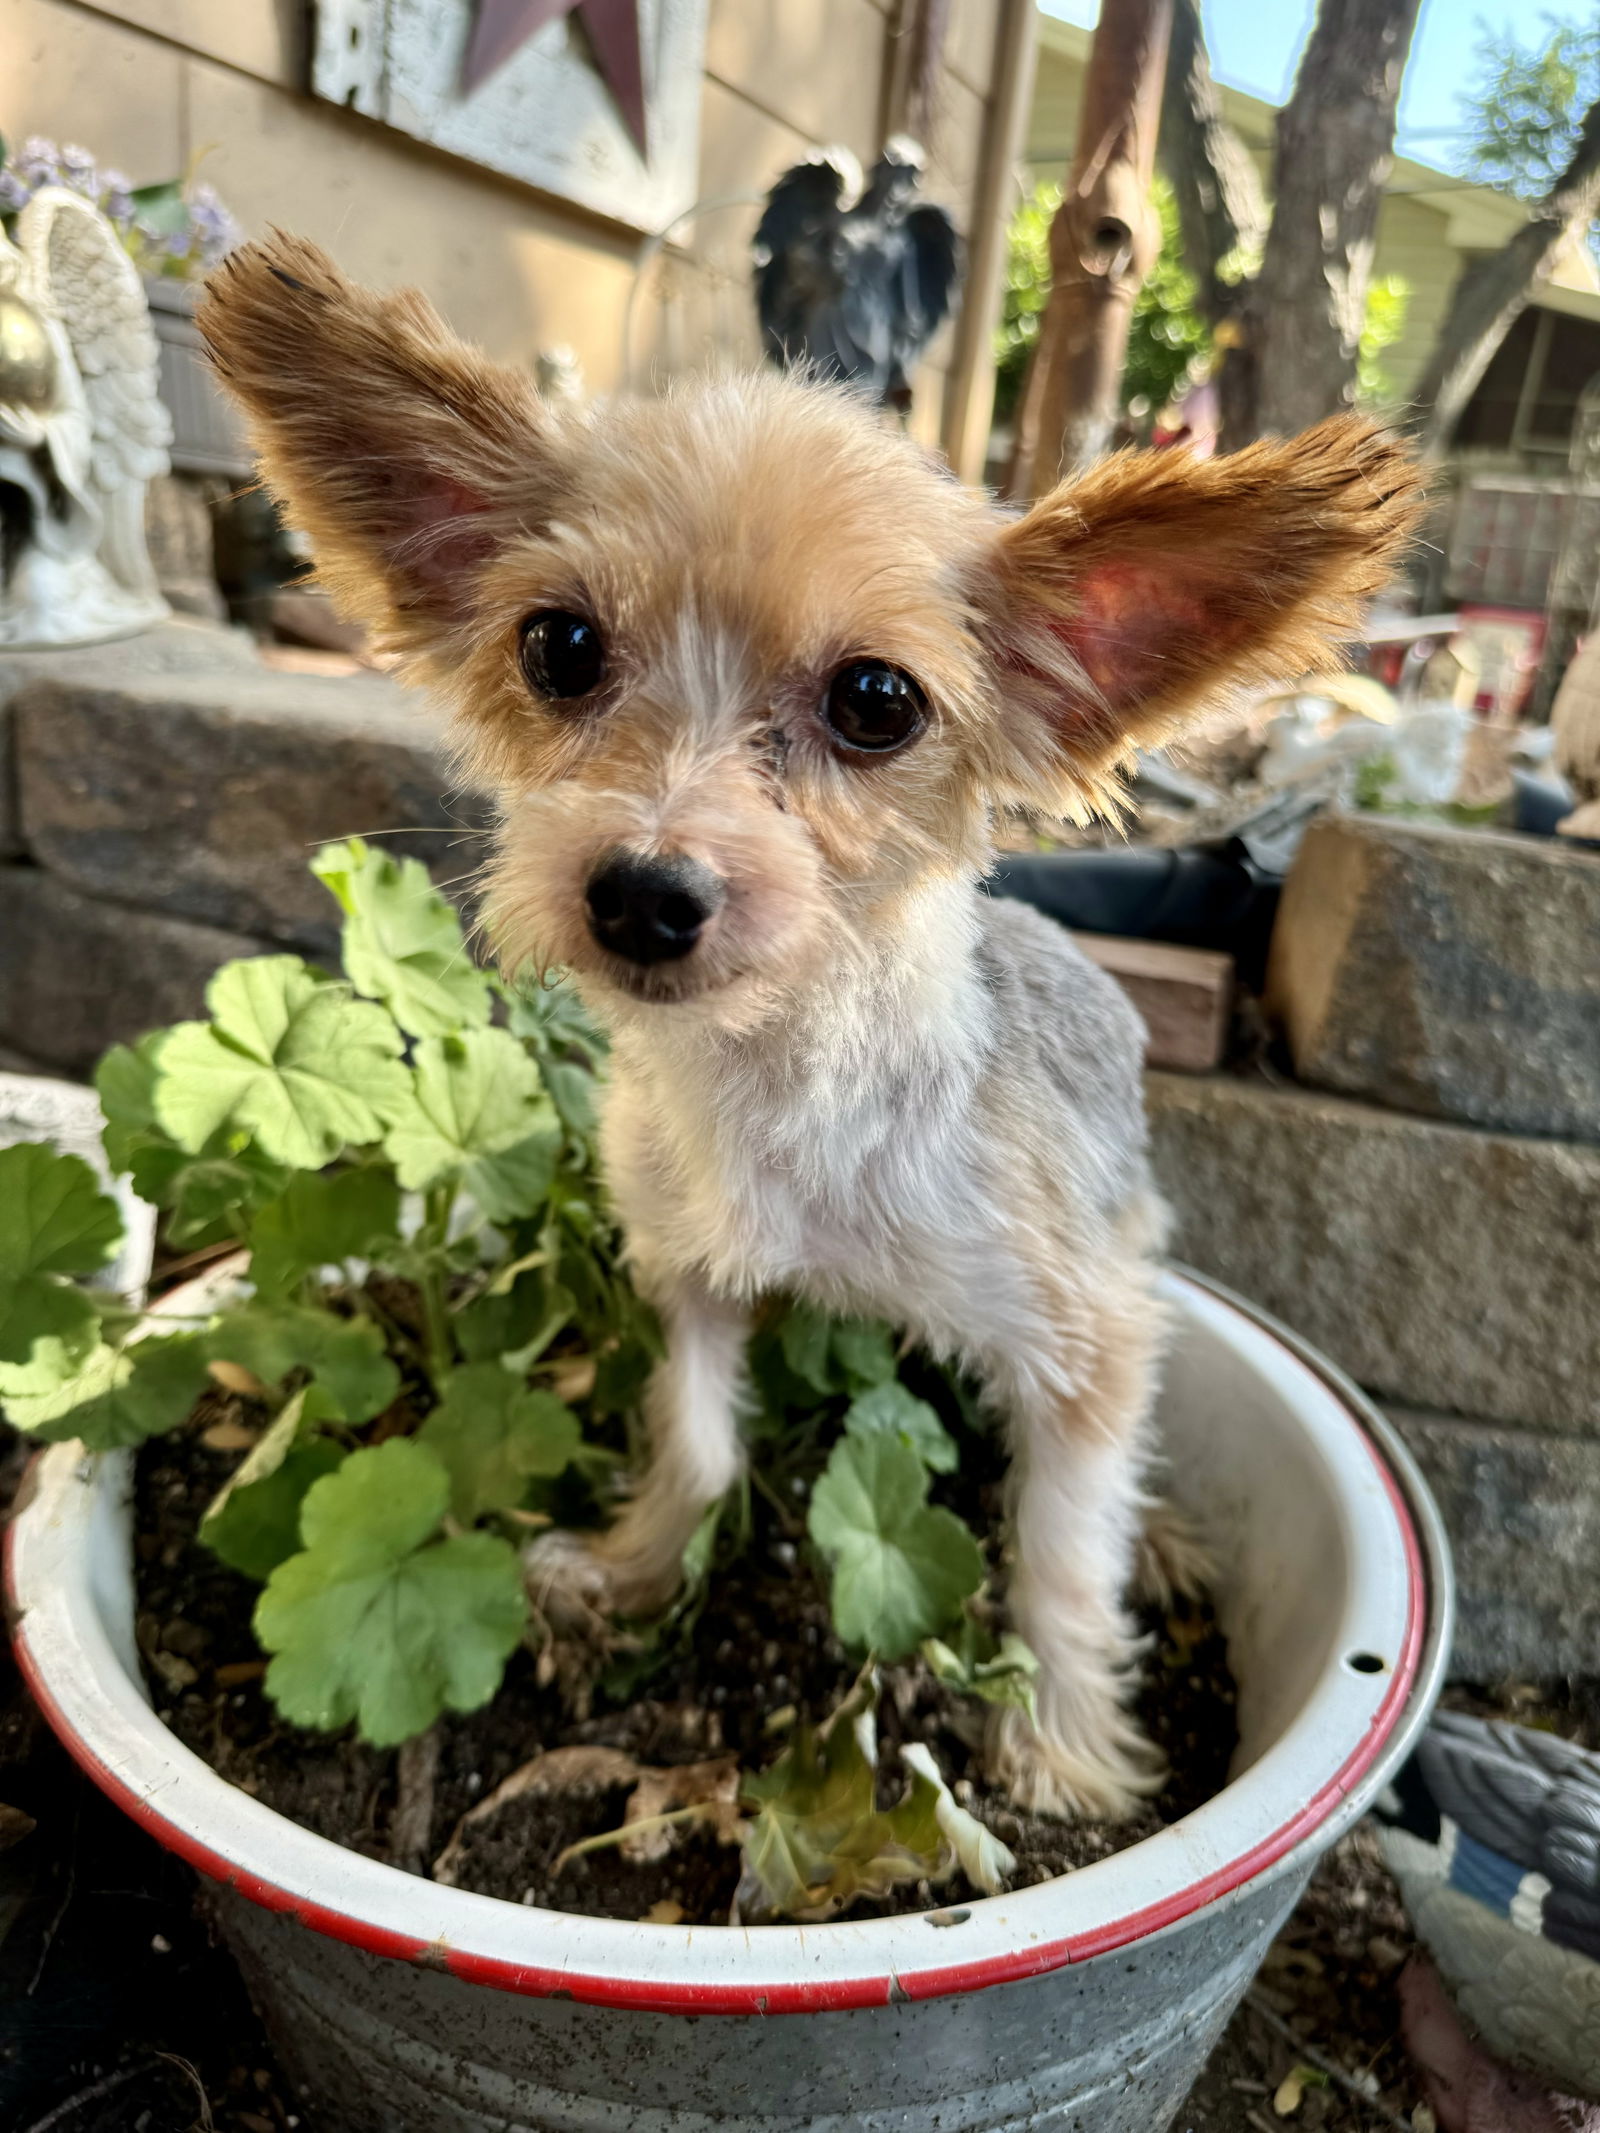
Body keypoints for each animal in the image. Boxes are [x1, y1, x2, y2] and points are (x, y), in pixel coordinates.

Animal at [203, 237, 1425, 1817]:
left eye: (877, 701)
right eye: (558, 645)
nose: (644, 891)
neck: (786, 1083)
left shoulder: (1081, 1337)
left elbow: (1060, 1549)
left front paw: (1062, 1743)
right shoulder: (690, 1280)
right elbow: (699, 1446)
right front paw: (634, 1572)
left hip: (1128, 1247)